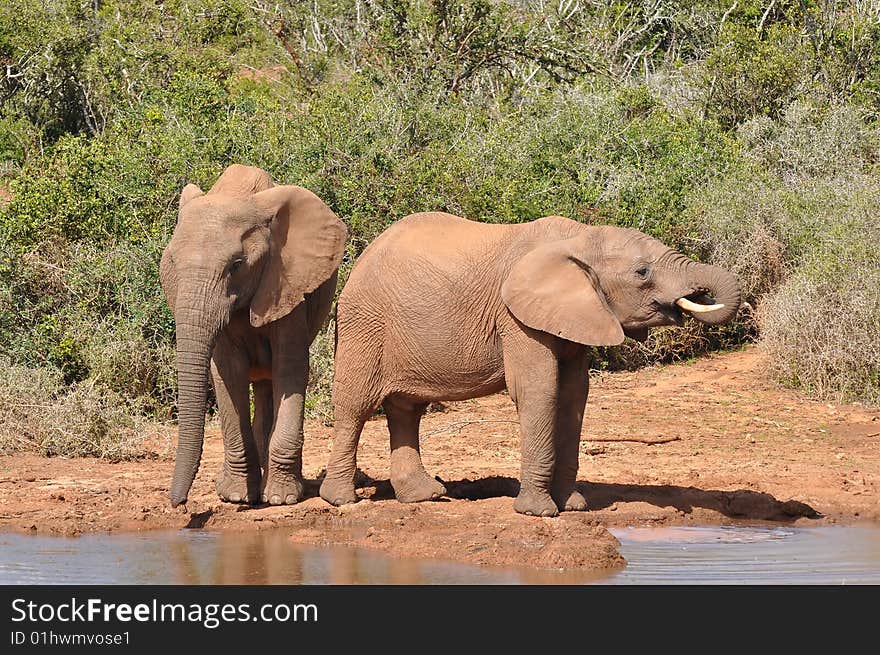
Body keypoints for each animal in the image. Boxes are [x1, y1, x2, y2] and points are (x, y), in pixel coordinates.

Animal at [158, 165, 348, 508]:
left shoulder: (286, 282)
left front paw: (282, 499)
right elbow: (227, 372)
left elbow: (290, 368)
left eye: (236, 265)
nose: (178, 502)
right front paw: (236, 496)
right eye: (172, 263)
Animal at [320, 213, 740, 516]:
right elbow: (539, 390)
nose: (700, 295)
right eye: (642, 273)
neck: (580, 237)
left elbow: (573, 396)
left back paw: (424, 497)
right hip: (364, 321)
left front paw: (573, 506)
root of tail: (362, 255)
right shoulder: (516, 317)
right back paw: (341, 501)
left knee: (406, 410)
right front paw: (539, 513)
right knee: (355, 406)